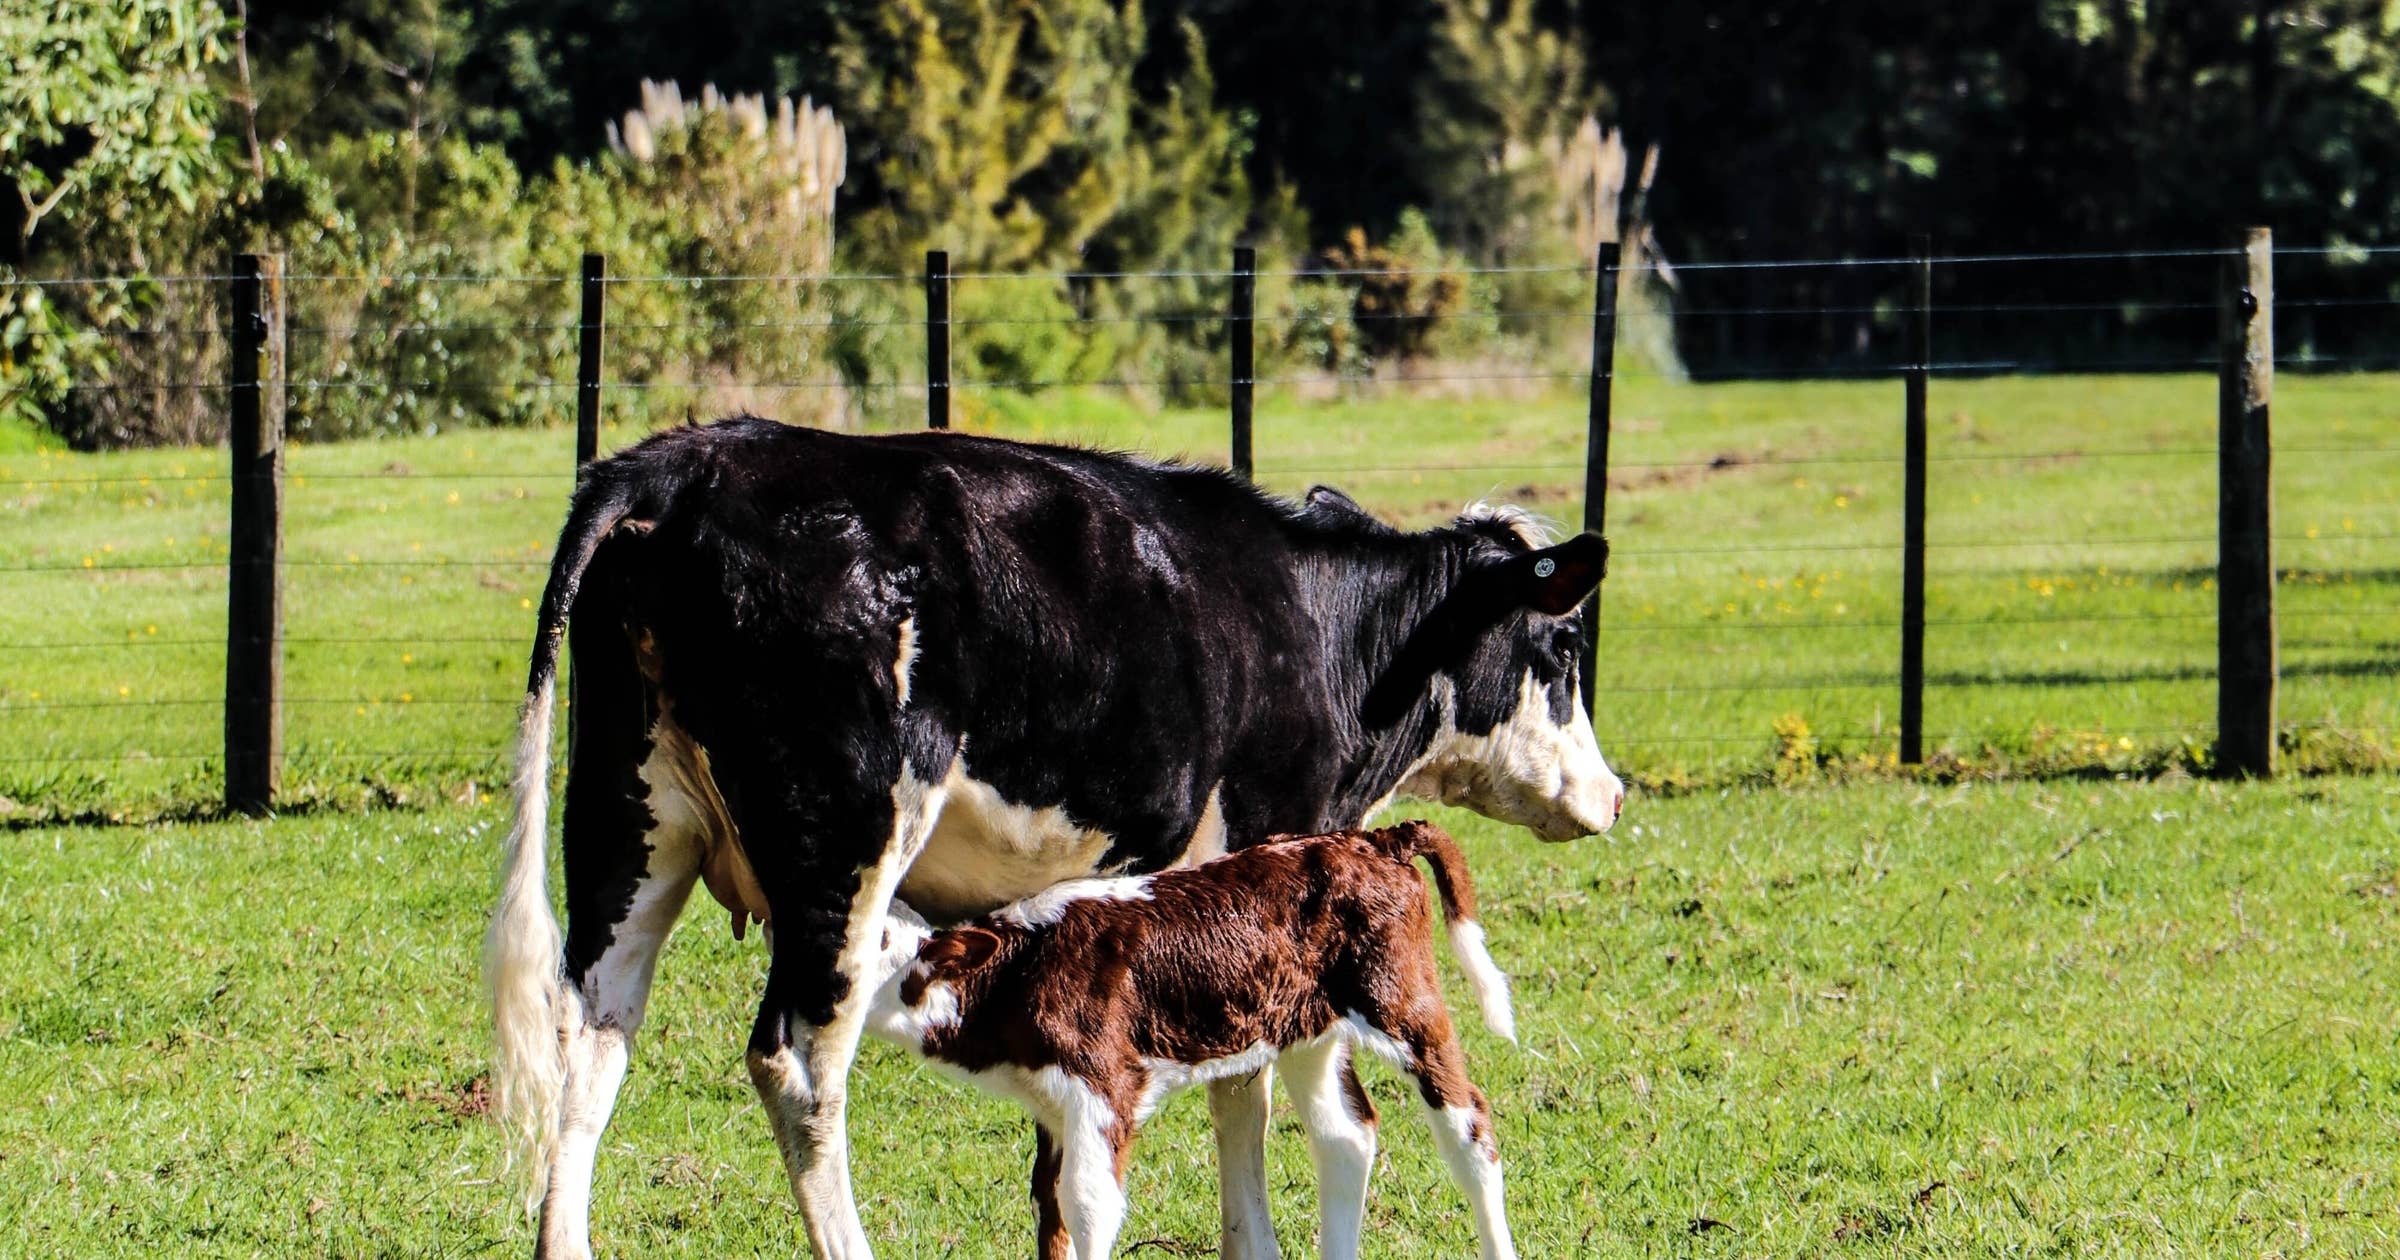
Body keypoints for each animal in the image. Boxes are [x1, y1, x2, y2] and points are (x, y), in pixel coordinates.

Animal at [864, 816, 1516, 1257]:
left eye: (878, 939)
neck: (1018, 972)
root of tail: (1373, 839)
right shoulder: (1052, 1106)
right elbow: (1049, 1208)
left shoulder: (1104, 1085)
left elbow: (1087, 1203)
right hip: (1308, 1029)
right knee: (1346, 1135)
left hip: (1402, 1001)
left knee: (1470, 1126)